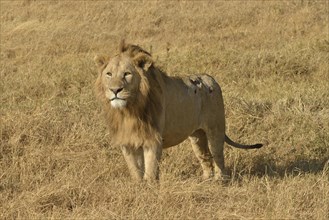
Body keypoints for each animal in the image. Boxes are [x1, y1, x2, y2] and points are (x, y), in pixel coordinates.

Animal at [93, 40, 262, 180]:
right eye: (109, 74)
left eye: (127, 74)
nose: (115, 90)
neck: (129, 110)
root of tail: (212, 79)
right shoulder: (127, 141)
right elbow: (135, 171)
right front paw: (138, 188)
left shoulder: (153, 140)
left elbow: (150, 172)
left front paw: (149, 190)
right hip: (197, 136)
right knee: (205, 156)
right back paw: (205, 181)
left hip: (215, 128)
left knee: (218, 156)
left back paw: (220, 181)